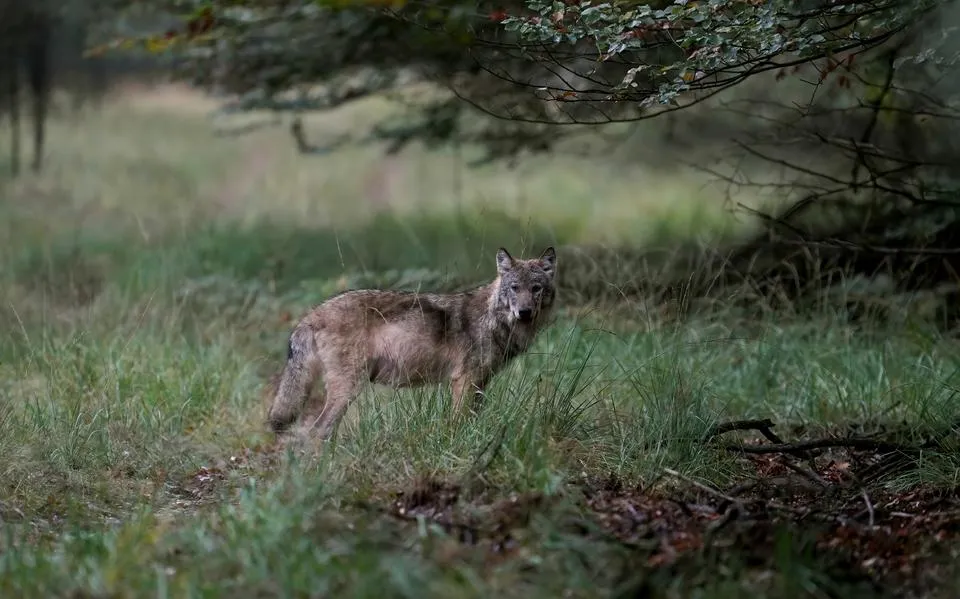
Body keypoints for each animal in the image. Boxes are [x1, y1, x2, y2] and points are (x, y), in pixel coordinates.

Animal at [265, 246, 558, 441]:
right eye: (514, 288)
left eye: (536, 288)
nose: (524, 312)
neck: (493, 320)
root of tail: (312, 314)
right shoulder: (464, 380)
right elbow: (458, 423)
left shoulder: (480, 383)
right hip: (348, 389)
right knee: (317, 431)